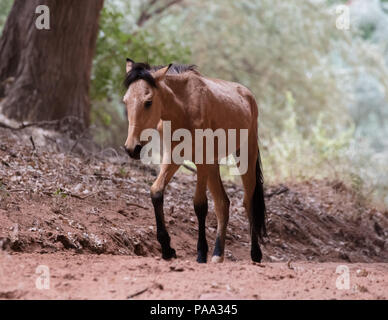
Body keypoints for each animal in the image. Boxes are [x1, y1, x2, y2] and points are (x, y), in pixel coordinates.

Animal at [123, 58, 266, 264]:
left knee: (248, 201)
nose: (131, 148)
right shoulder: (172, 156)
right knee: (223, 204)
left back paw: (255, 253)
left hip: (245, 155)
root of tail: (247, 95)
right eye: (125, 101)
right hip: (213, 164)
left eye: (148, 101)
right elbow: (156, 191)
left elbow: (200, 204)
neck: (183, 108)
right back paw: (217, 254)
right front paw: (167, 249)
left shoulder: (201, 159)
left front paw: (200, 252)